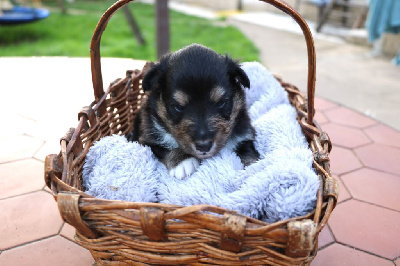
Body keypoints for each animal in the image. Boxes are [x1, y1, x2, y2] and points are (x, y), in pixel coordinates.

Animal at [129, 43, 260, 180]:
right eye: (177, 107)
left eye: (221, 103)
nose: (204, 146)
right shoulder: (147, 140)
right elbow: (165, 148)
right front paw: (183, 162)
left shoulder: (244, 134)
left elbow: (248, 152)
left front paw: (253, 168)